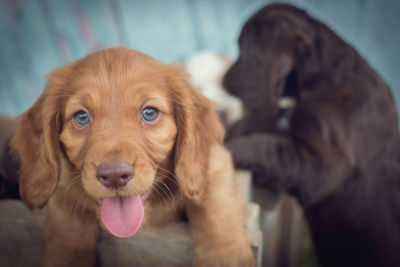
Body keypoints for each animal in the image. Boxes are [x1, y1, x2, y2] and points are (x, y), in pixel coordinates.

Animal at [11, 47, 253, 266]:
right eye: (81, 117)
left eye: (149, 113)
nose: (114, 176)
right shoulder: (62, 188)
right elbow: (67, 230)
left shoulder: (214, 163)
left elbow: (217, 211)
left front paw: (225, 256)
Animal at [225, 3, 400, 267]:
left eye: (242, 48)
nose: (224, 81)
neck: (323, 77)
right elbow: (271, 123)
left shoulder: (325, 164)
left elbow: (268, 147)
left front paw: (226, 148)